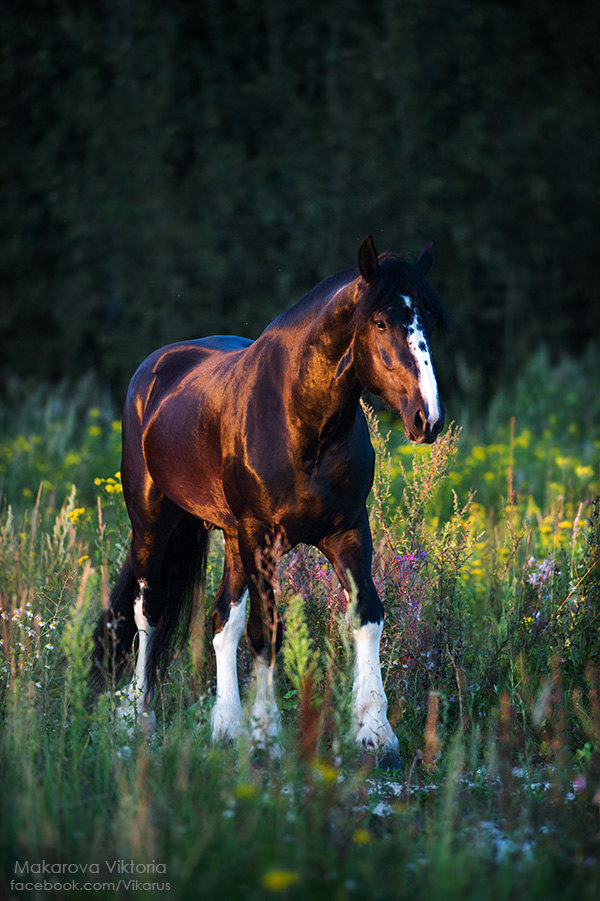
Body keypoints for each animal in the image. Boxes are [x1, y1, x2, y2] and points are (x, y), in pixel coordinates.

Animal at [92, 234, 446, 768]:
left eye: (426, 316)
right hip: (152, 524)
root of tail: (154, 369)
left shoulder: (347, 531)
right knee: (149, 612)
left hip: (231, 539)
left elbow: (366, 616)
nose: (428, 417)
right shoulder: (260, 537)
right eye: (381, 322)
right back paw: (139, 717)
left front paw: (375, 735)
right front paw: (266, 736)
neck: (301, 420)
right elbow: (266, 632)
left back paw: (224, 725)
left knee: (222, 621)